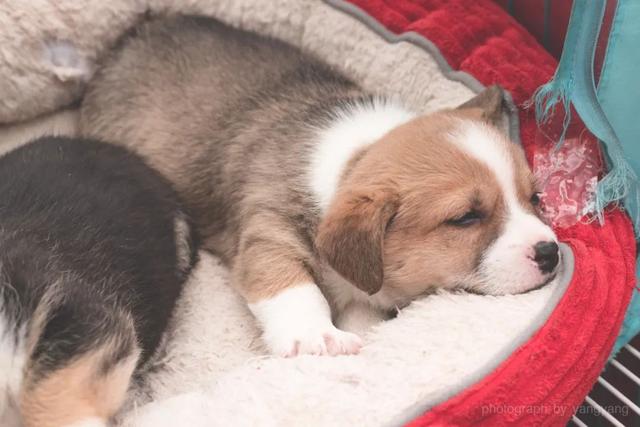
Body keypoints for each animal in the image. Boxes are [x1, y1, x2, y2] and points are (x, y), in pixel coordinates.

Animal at [81, 15, 560, 358]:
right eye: (465, 218)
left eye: (535, 198)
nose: (551, 253)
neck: (351, 159)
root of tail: (134, 30)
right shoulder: (269, 233)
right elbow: (294, 288)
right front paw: (315, 338)